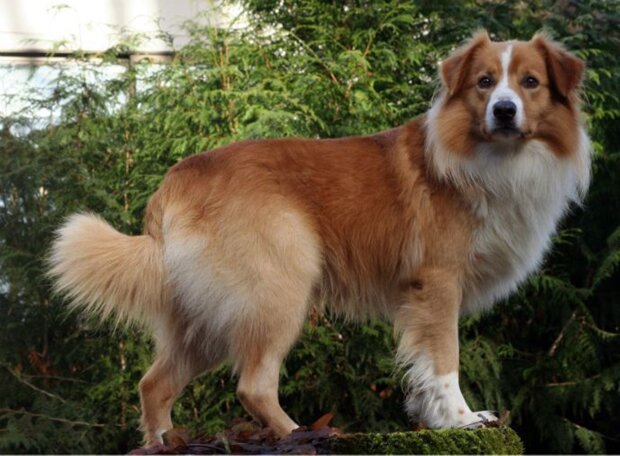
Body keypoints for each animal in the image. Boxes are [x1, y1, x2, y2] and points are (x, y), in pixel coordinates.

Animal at [48, 31, 592, 446]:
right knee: (253, 386)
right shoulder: (437, 285)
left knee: (153, 384)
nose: (504, 110)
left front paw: (430, 419)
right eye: (484, 83)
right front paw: (459, 420)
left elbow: (419, 366)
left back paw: (164, 442)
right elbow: (443, 361)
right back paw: (302, 434)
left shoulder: (418, 299)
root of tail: (176, 180)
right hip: (277, 291)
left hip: (208, 317)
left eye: (530, 83)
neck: (488, 158)